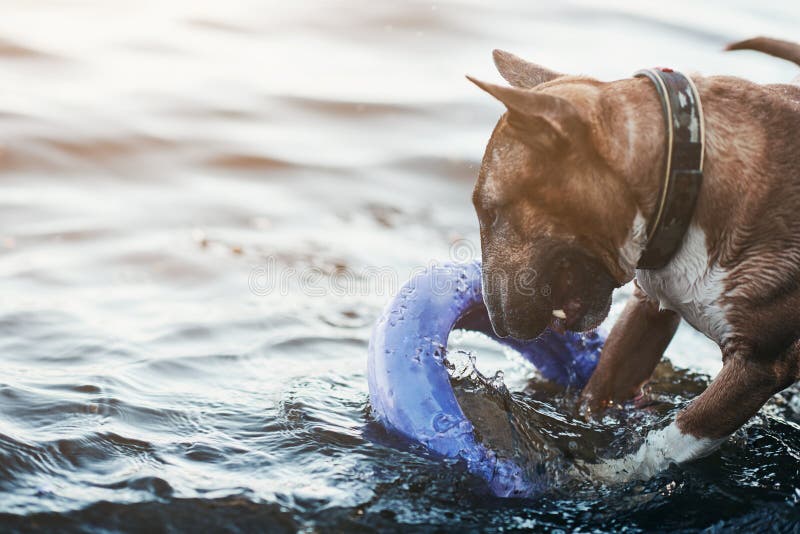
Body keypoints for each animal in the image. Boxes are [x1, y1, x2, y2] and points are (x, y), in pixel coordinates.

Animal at [468, 38, 800, 482]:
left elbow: (676, 436)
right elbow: (601, 387)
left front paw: (608, 473)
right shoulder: (649, 310)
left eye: (489, 211)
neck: (687, 171)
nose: (494, 321)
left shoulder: (761, 363)